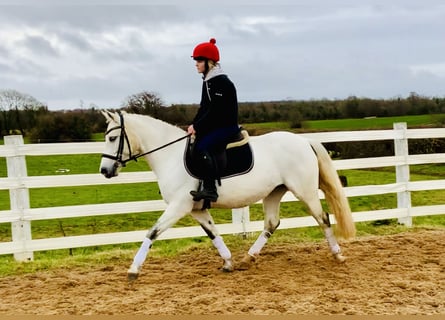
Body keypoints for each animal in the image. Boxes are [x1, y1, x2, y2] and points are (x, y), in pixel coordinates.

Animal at [99, 111, 354, 282]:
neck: (171, 155)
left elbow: (153, 232)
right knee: (272, 223)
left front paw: (133, 270)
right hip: (274, 192)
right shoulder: (197, 209)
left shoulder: (179, 206)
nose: (104, 170)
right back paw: (248, 258)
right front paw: (228, 262)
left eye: (112, 138)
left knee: (323, 218)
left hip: (305, 191)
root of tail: (304, 141)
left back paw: (338, 255)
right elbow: (213, 233)